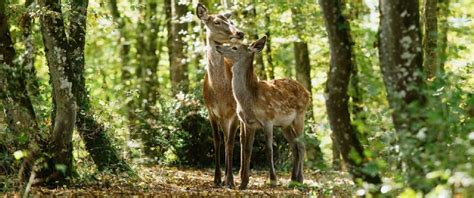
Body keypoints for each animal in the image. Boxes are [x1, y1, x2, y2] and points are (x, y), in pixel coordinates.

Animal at [195, 3, 246, 188]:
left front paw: (230, 180)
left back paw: (240, 175)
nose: (240, 33)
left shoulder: (234, 112)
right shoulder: (211, 111)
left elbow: (231, 142)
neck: (218, 92)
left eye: (231, 21)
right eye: (216, 21)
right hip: (223, 117)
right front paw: (217, 179)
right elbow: (217, 141)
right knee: (225, 138)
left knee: (242, 138)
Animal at [216, 35, 312, 189]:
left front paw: (273, 180)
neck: (250, 99)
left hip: (300, 115)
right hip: (285, 125)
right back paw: (293, 179)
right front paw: (243, 183)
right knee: (294, 146)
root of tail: (308, 92)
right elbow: (247, 150)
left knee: (302, 145)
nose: (218, 45)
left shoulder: (268, 119)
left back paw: (300, 180)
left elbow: (269, 149)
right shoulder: (248, 123)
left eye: (235, 47)